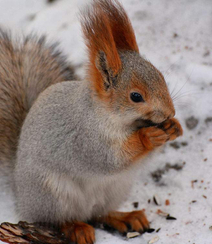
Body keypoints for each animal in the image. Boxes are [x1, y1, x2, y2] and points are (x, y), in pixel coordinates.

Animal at [0, 0, 182, 244]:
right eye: (136, 96)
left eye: (161, 76)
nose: (170, 112)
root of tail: (20, 194)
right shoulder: (85, 139)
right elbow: (111, 160)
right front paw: (147, 137)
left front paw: (173, 127)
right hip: (53, 195)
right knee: (58, 220)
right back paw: (76, 228)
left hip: (115, 189)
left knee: (99, 214)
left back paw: (126, 217)